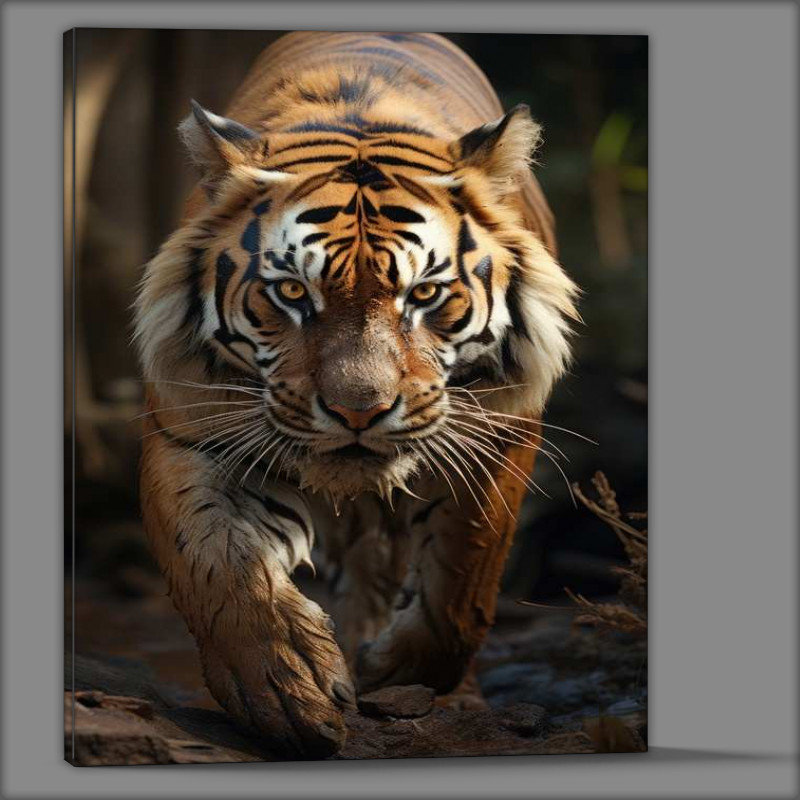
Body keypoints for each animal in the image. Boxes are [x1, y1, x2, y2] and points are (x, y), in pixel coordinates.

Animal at [134, 30, 579, 759]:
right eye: (292, 291)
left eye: (425, 293)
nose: (358, 411)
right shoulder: (193, 430)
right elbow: (217, 564)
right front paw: (285, 689)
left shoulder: (499, 434)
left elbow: (463, 582)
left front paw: (394, 672)